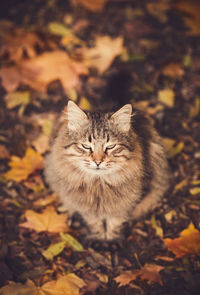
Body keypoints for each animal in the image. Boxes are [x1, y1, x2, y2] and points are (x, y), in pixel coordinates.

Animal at [44, 100, 170, 242]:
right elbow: (94, 223)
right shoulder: (86, 209)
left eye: (110, 146)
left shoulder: (124, 206)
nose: (98, 161)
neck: (99, 185)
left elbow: (115, 223)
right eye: (86, 146)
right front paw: (98, 239)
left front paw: (111, 240)